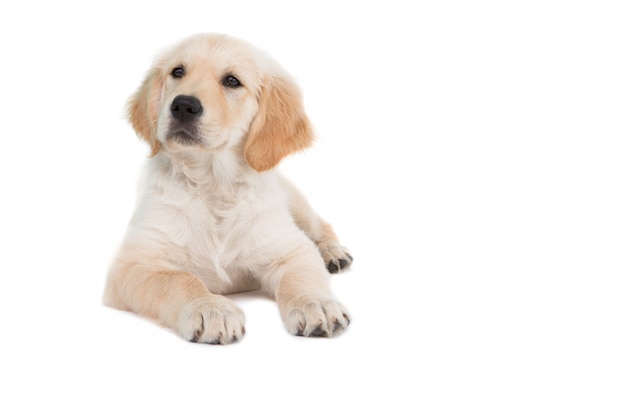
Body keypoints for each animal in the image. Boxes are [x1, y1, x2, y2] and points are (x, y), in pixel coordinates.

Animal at [105, 33, 354, 344]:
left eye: (232, 81)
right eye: (177, 72)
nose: (183, 105)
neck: (213, 184)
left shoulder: (290, 248)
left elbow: (301, 277)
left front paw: (315, 304)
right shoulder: (130, 265)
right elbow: (179, 279)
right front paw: (210, 308)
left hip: (296, 204)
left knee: (322, 227)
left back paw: (333, 253)